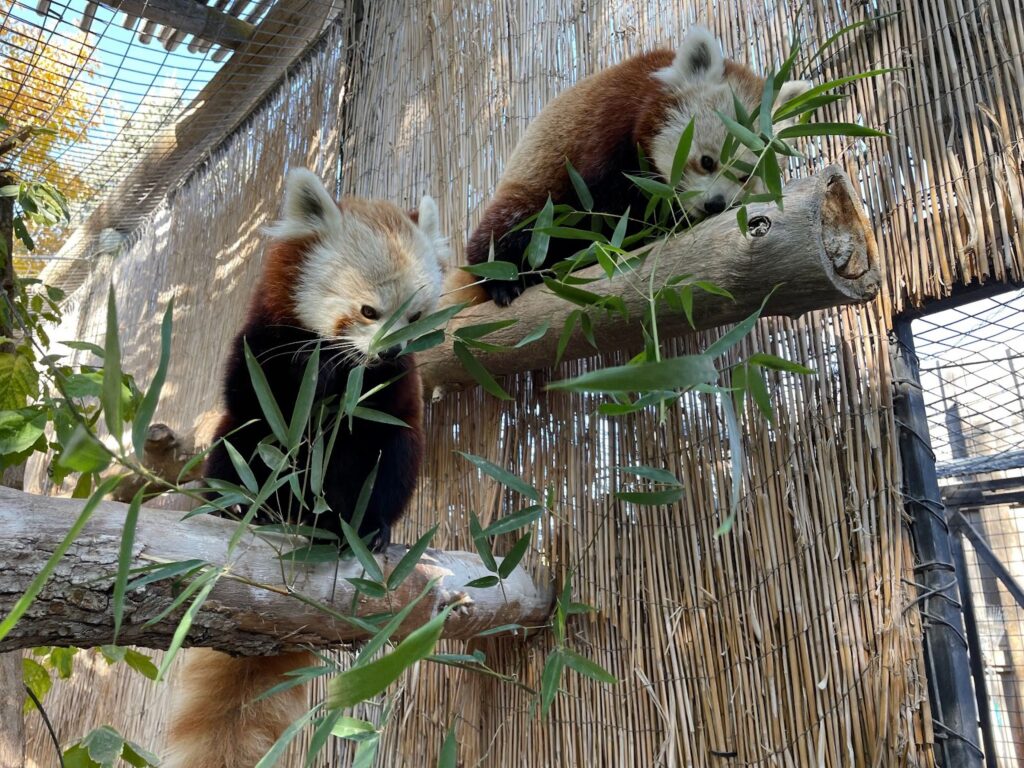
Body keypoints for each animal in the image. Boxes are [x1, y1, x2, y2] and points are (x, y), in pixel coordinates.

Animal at [164, 167, 448, 768]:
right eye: (368, 311)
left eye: (415, 317)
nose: (389, 352)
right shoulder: (262, 348)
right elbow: (260, 402)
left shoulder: (396, 391)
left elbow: (383, 432)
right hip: (233, 453)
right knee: (238, 448)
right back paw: (249, 510)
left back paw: (357, 527)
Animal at [460, 28, 811, 309]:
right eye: (706, 161)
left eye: (744, 177)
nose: (715, 204)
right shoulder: (607, 133)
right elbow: (605, 208)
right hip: (537, 192)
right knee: (513, 224)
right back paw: (504, 278)